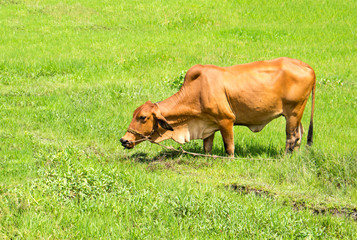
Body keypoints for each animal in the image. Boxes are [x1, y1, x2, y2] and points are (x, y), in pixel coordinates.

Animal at [119, 57, 314, 156]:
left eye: (143, 117)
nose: (124, 140)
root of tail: (307, 66)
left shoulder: (226, 121)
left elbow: (229, 147)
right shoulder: (207, 124)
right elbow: (207, 147)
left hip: (293, 112)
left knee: (291, 138)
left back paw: (285, 158)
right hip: (296, 114)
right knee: (299, 135)